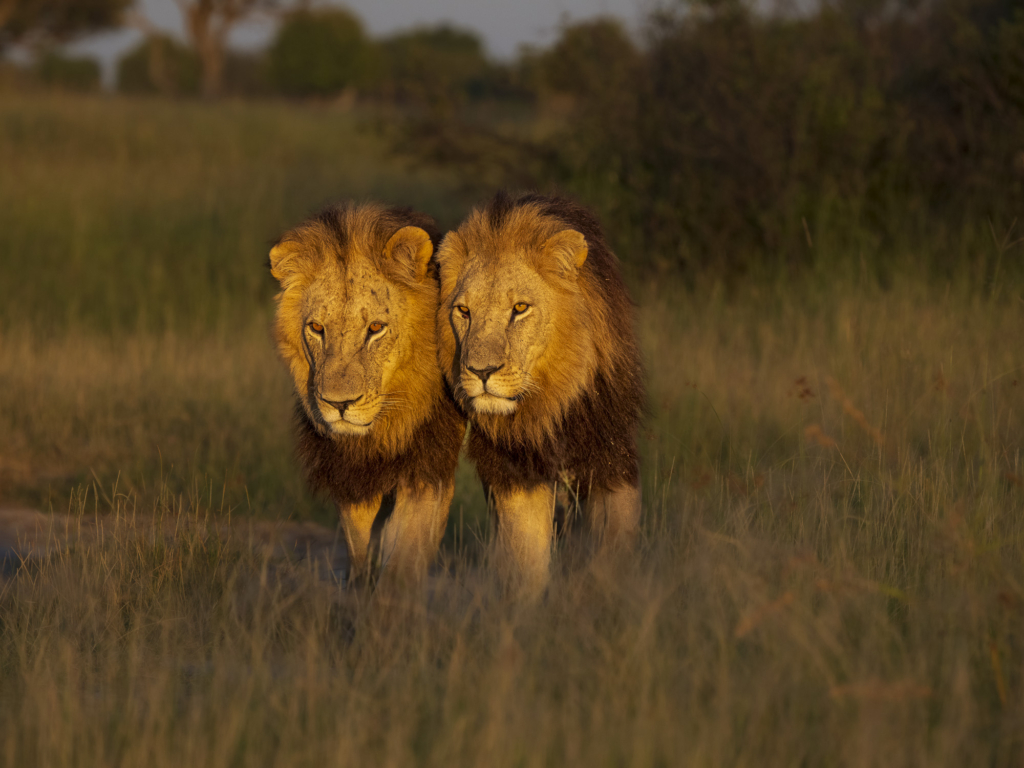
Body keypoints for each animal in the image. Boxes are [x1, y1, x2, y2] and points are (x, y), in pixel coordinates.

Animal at [270, 201, 466, 585]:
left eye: (375, 328)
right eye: (316, 328)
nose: (339, 404)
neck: (382, 429)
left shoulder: (429, 466)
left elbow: (403, 559)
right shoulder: (353, 477)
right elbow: (360, 552)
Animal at [436, 192, 643, 593]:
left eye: (520, 308)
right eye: (464, 311)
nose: (481, 372)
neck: (549, 402)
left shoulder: (610, 450)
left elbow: (614, 543)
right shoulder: (516, 468)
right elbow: (525, 556)